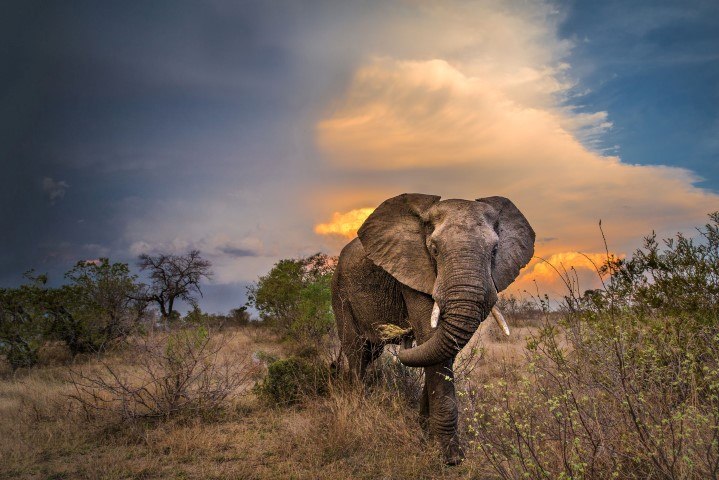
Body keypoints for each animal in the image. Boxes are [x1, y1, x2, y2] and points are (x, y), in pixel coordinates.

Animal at [332, 192, 536, 464]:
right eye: (435, 250)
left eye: (495, 250)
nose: (403, 336)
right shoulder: (412, 271)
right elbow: (431, 338)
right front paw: (450, 458)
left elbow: (441, 349)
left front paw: (426, 436)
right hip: (339, 292)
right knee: (355, 350)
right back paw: (358, 408)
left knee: (369, 353)